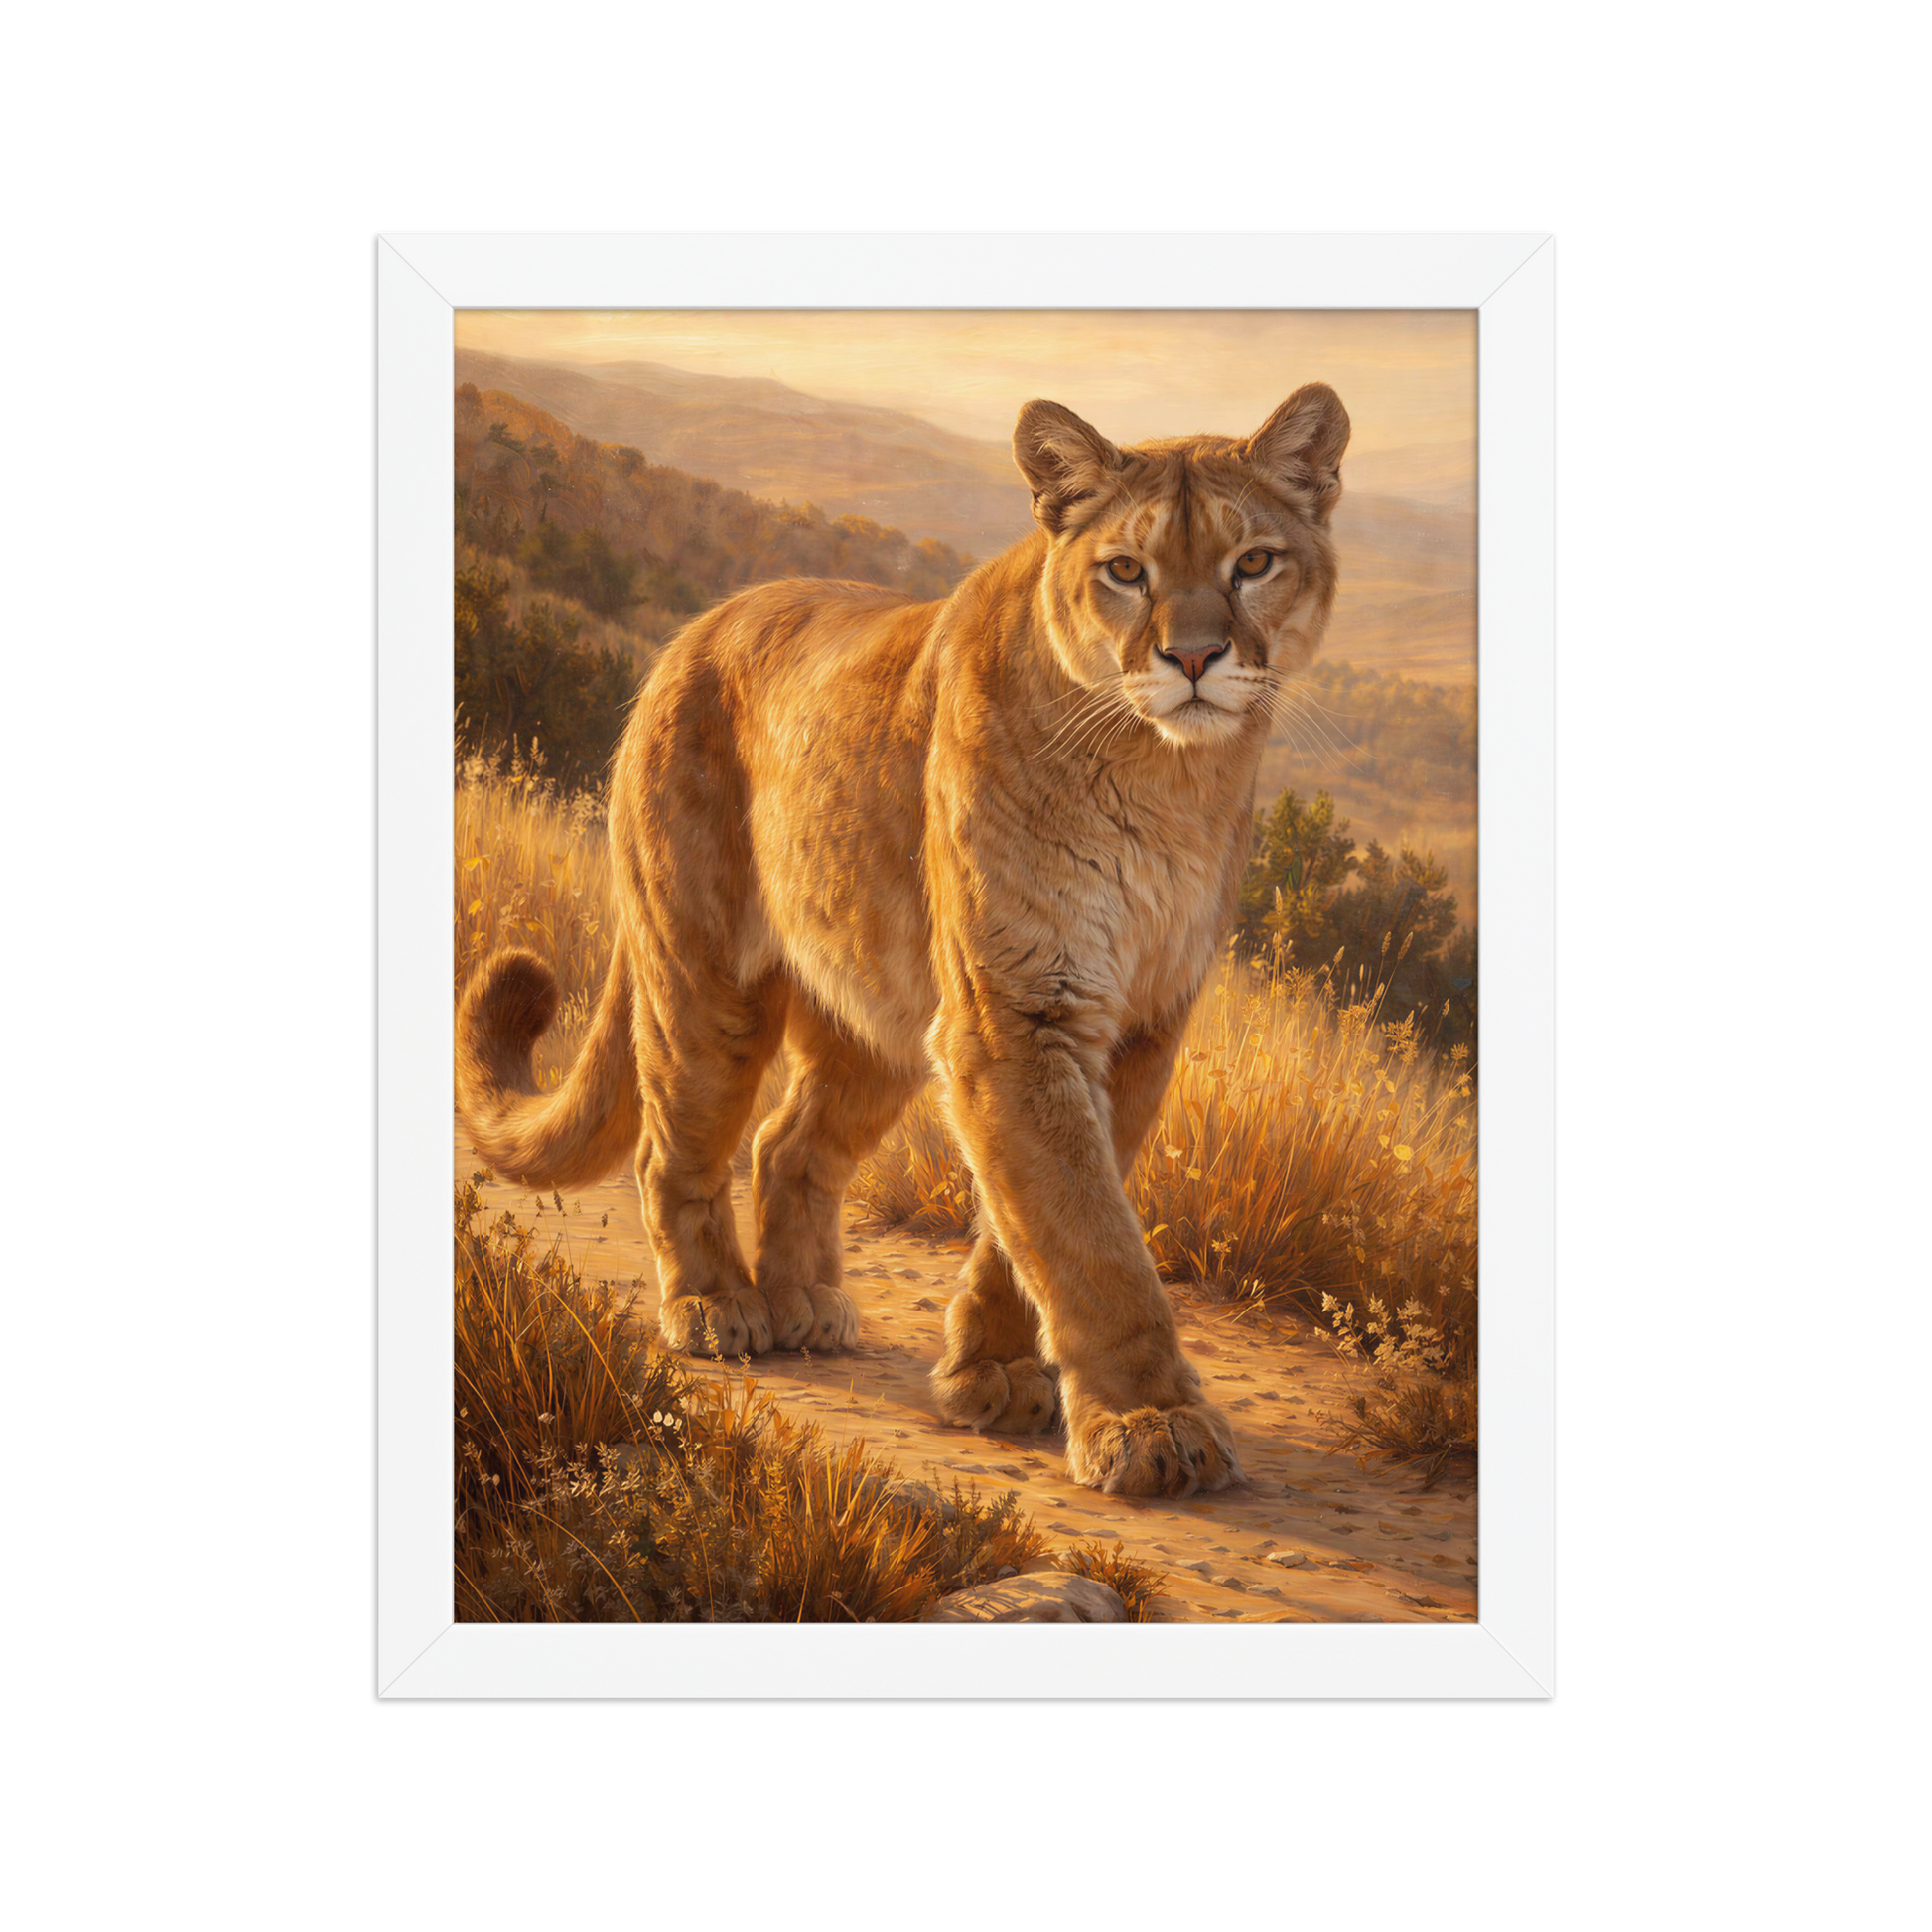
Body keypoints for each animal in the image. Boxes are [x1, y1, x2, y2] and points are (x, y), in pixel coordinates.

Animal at [457, 383, 1351, 1497]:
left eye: (1253, 562)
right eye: (1125, 570)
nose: (1192, 657)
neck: (1168, 778)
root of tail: (692, 631)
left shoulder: (1136, 1023)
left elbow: (1040, 1216)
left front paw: (994, 1375)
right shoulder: (1018, 1011)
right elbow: (1088, 1235)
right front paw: (1153, 1424)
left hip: (875, 1012)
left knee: (790, 1142)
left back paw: (806, 1306)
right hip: (706, 978)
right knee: (679, 1145)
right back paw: (715, 1307)